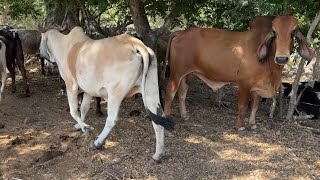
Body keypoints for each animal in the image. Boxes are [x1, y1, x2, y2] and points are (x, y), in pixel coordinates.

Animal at [40, 26, 175, 162]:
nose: (42, 57)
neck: (65, 46)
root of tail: (137, 45)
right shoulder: (88, 91)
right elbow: (84, 108)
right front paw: (80, 125)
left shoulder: (70, 85)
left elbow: (74, 111)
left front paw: (85, 127)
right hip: (150, 90)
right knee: (158, 119)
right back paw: (157, 154)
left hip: (115, 93)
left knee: (111, 119)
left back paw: (98, 142)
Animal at [162, 15, 316, 134]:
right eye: (274, 32)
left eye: (293, 31)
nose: (282, 58)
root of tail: (181, 32)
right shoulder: (243, 83)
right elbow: (243, 105)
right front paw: (240, 127)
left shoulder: (258, 85)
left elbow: (255, 106)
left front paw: (252, 124)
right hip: (176, 72)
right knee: (170, 92)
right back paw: (167, 117)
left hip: (188, 74)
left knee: (182, 92)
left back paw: (184, 115)